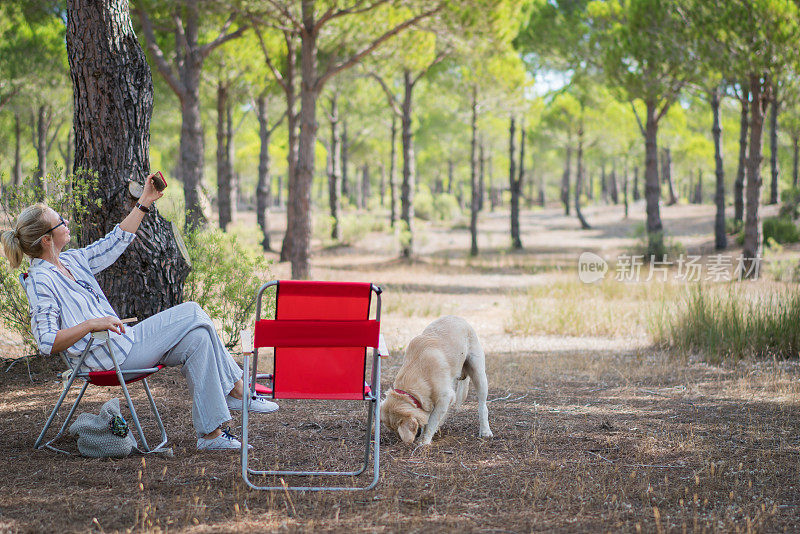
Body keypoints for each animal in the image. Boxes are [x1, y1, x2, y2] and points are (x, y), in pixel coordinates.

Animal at [378, 316, 490, 446]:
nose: (416, 435)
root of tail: (461, 319)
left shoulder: (445, 397)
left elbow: (432, 420)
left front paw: (424, 440)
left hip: (479, 374)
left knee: (482, 406)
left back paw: (485, 431)